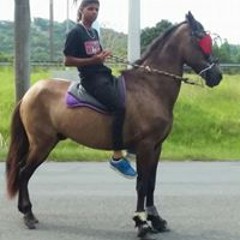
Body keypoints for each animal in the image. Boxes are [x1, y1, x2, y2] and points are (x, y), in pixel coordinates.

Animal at [6, 12, 223, 237]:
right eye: (201, 39)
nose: (217, 75)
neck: (150, 86)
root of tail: (29, 93)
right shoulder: (145, 147)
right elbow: (142, 184)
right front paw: (141, 222)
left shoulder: (156, 147)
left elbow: (151, 183)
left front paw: (155, 219)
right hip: (42, 144)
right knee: (24, 172)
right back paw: (28, 214)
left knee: (23, 171)